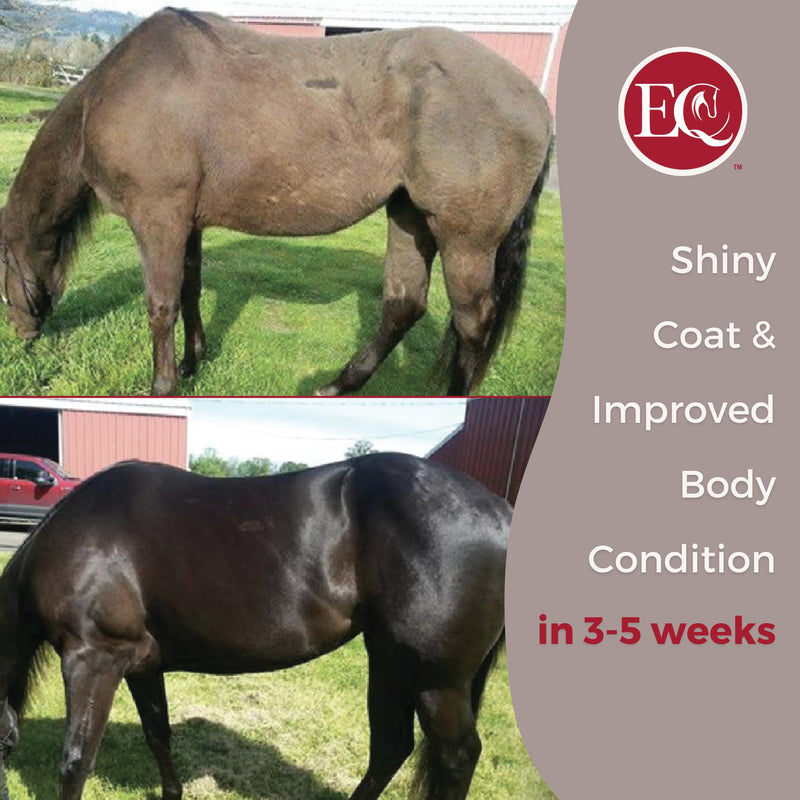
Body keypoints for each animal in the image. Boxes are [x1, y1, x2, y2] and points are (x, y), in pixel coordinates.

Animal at [0, 8, 553, 396]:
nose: (21, 333)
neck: (117, 95)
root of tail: (537, 103)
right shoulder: (187, 222)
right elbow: (190, 291)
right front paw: (194, 363)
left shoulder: (158, 218)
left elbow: (161, 305)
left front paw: (163, 385)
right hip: (410, 217)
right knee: (404, 306)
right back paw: (337, 385)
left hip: (466, 240)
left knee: (472, 324)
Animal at [0, 453, 510, 800]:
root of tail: (503, 513)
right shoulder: (141, 665)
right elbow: (158, 736)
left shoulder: (93, 657)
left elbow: (76, 760)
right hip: (389, 660)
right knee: (391, 746)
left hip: (435, 680)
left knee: (456, 756)